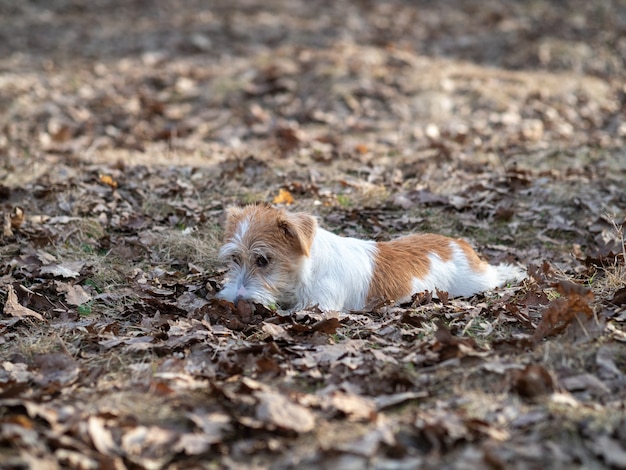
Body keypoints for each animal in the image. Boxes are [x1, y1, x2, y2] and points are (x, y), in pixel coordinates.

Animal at [217, 203, 524, 310]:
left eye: (263, 260)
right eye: (235, 259)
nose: (235, 303)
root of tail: (456, 242)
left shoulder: (320, 306)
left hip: (478, 282)